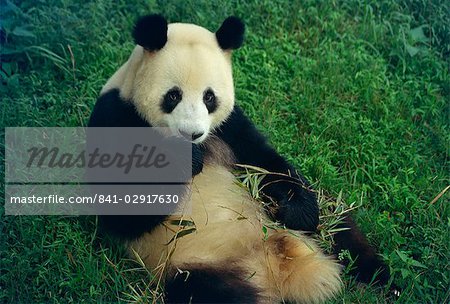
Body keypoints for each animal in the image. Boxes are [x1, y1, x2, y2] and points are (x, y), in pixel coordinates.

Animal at [89, 14, 390, 304]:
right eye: (173, 95)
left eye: (209, 97)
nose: (193, 133)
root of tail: (278, 271)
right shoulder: (114, 116)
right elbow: (123, 209)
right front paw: (185, 159)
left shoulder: (229, 127)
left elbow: (266, 162)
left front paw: (295, 211)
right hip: (193, 266)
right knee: (208, 293)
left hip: (320, 224)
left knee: (340, 225)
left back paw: (379, 280)